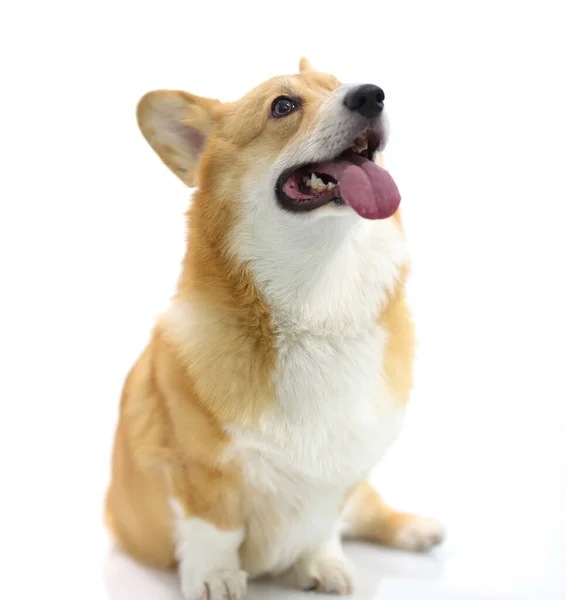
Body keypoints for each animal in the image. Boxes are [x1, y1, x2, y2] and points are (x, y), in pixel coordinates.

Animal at [105, 57, 444, 600]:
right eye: (283, 106)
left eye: (339, 84)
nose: (372, 94)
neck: (318, 308)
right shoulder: (198, 470)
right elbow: (215, 528)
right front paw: (216, 577)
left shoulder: (341, 471)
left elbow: (324, 524)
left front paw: (321, 564)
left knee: (366, 509)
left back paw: (416, 528)